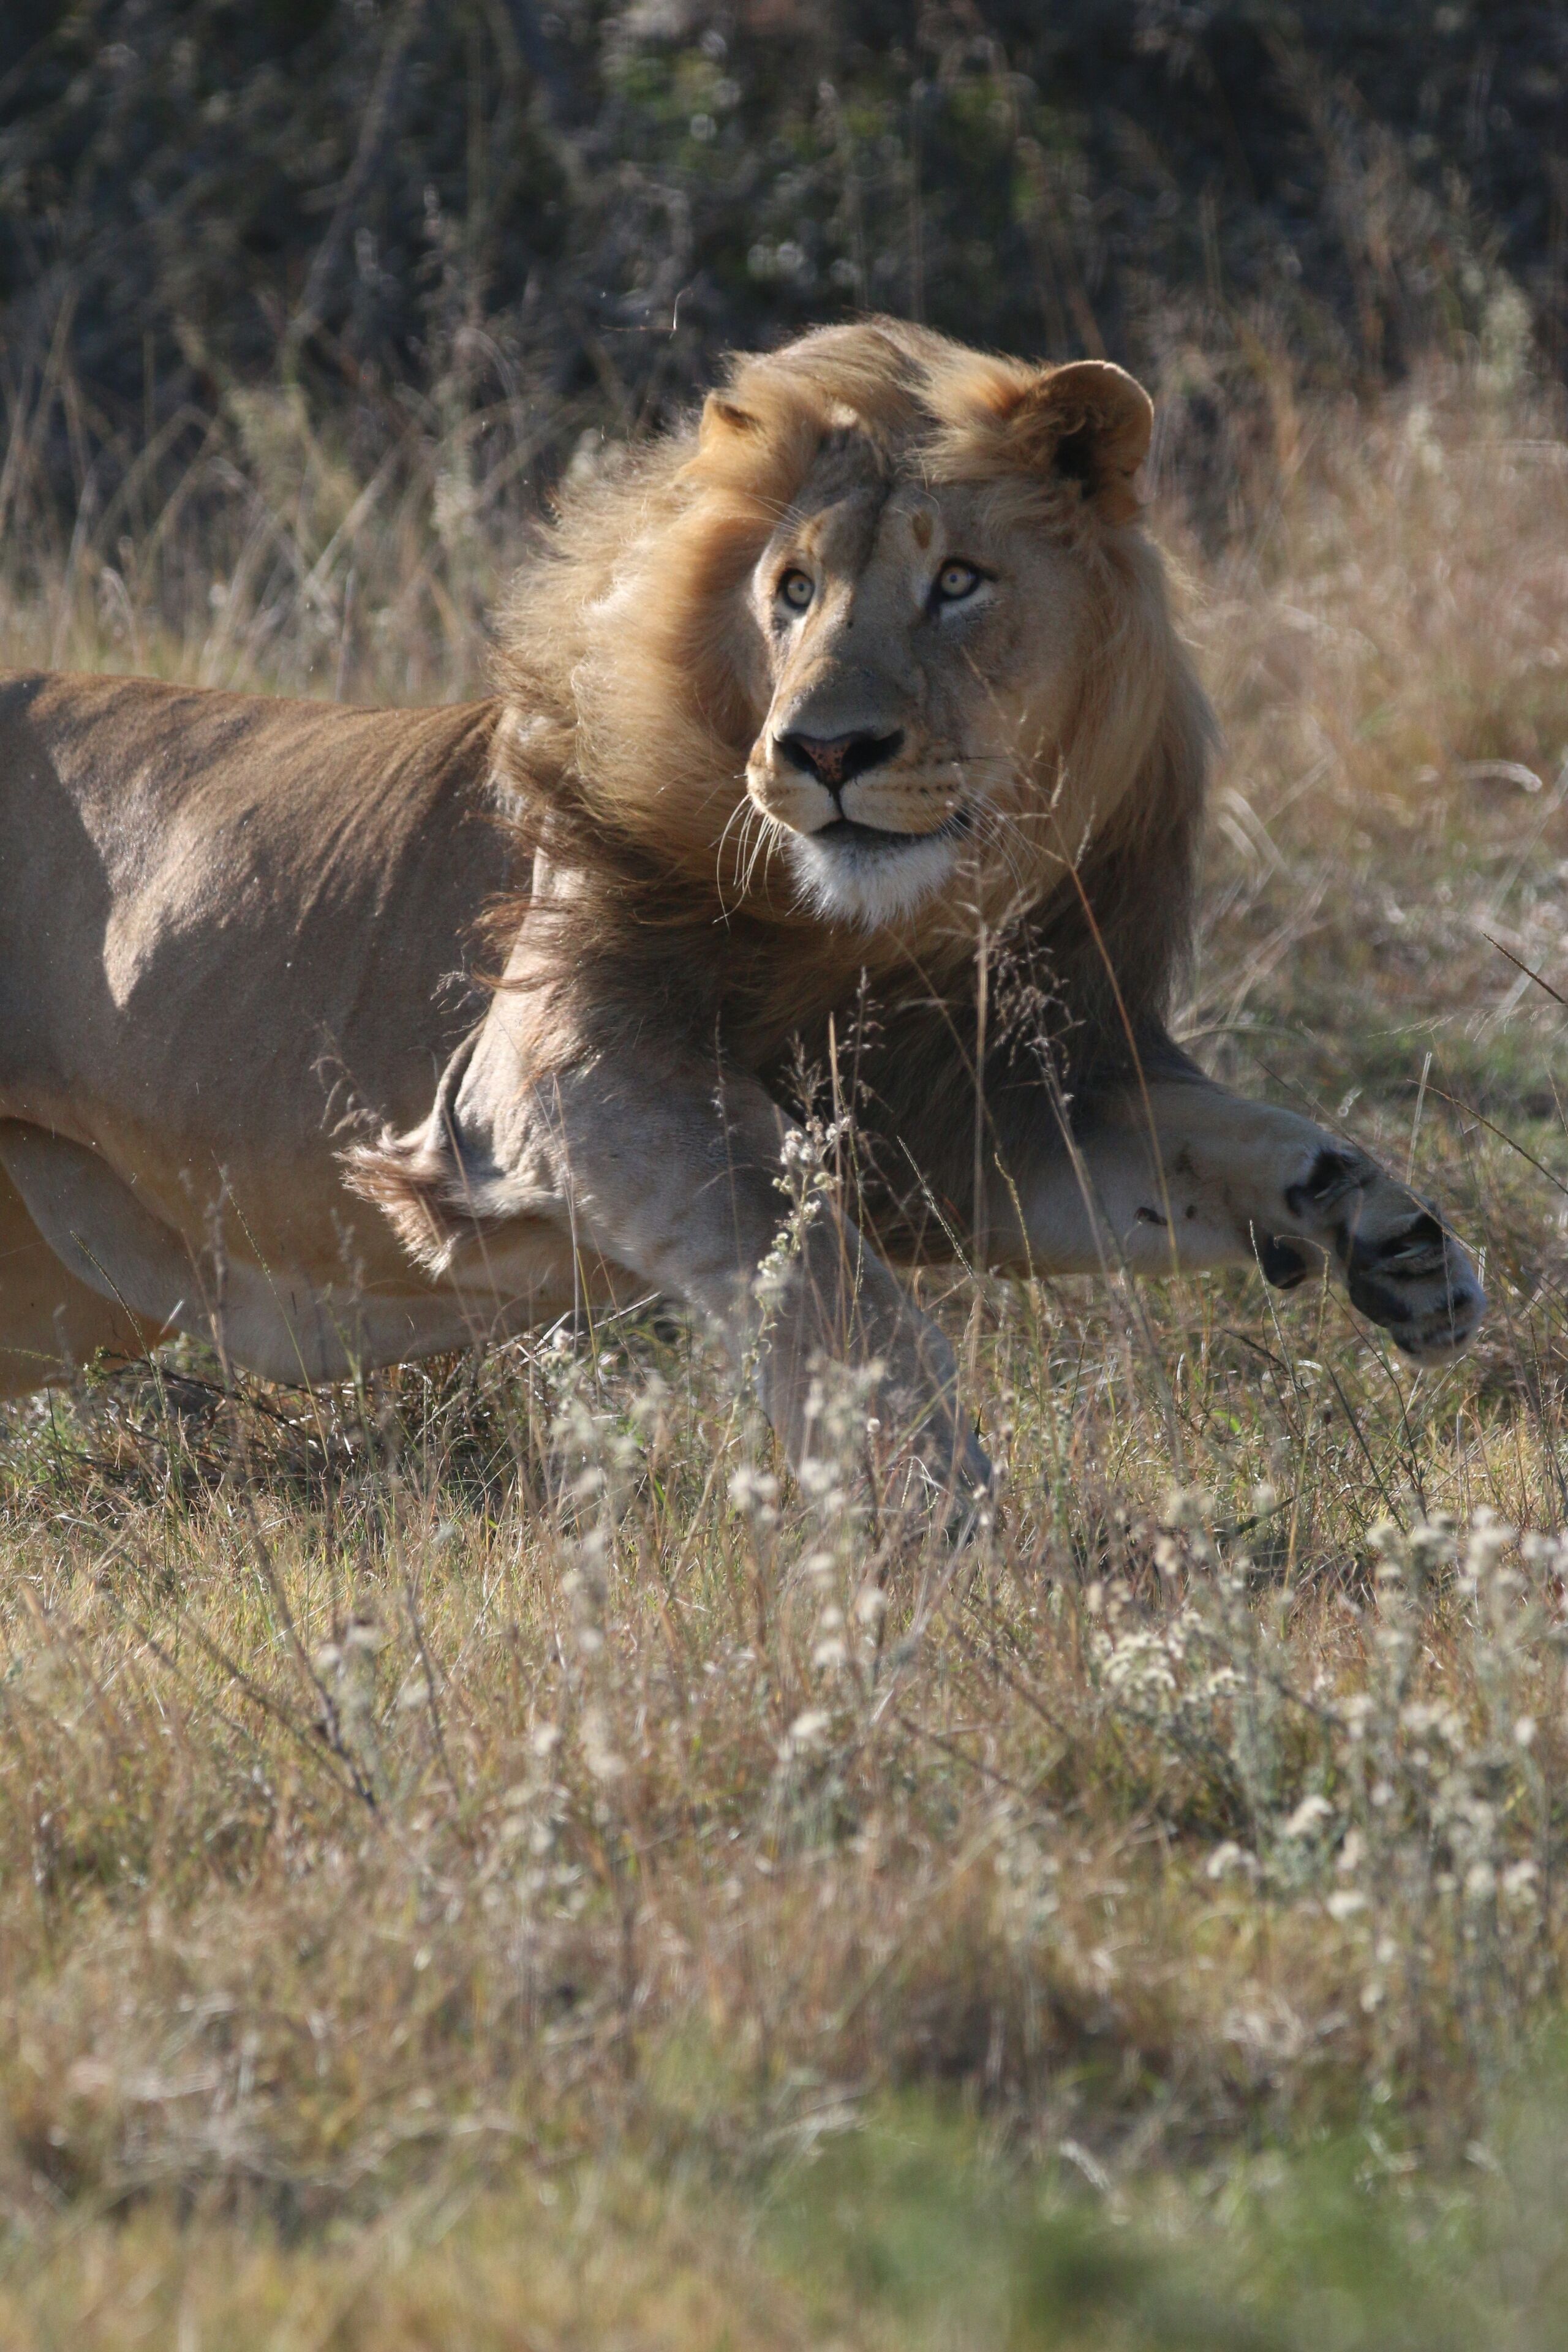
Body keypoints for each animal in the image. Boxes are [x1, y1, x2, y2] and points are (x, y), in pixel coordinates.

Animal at [0, 320, 1482, 1498]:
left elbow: (1221, 1137)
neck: (901, 913)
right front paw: (935, 1505)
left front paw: (1394, 1239)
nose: (824, 751)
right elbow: (821, 1264)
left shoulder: (969, 1117)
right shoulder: (557, 1066)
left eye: (958, 582)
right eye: (792, 592)